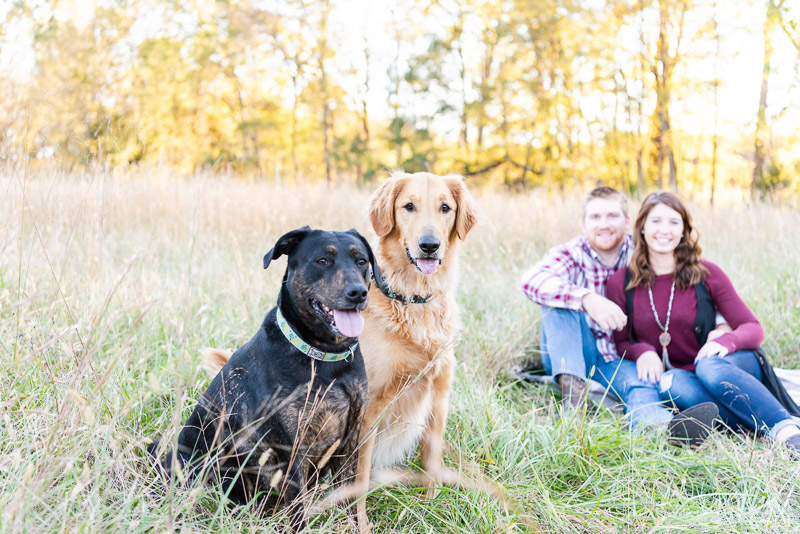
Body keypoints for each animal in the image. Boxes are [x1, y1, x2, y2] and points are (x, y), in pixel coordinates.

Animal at [151, 228, 382, 532]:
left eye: (362, 261)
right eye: (322, 260)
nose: (357, 292)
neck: (323, 358)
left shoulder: (350, 439)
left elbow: (350, 499)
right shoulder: (291, 449)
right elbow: (298, 510)